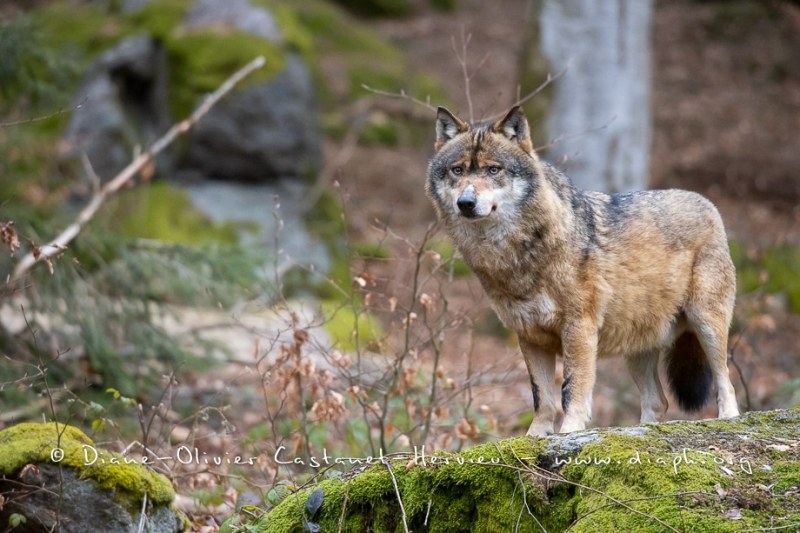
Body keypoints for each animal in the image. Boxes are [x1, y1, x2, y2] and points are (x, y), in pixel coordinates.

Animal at [428, 106, 740, 434]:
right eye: (458, 170)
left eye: (493, 170)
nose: (466, 202)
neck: (518, 255)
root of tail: (708, 203)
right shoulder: (529, 336)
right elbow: (542, 397)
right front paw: (536, 435)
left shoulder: (579, 327)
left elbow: (571, 388)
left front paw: (569, 432)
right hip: (638, 350)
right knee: (658, 401)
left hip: (705, 323)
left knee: (725, 380)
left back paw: (728, 417)